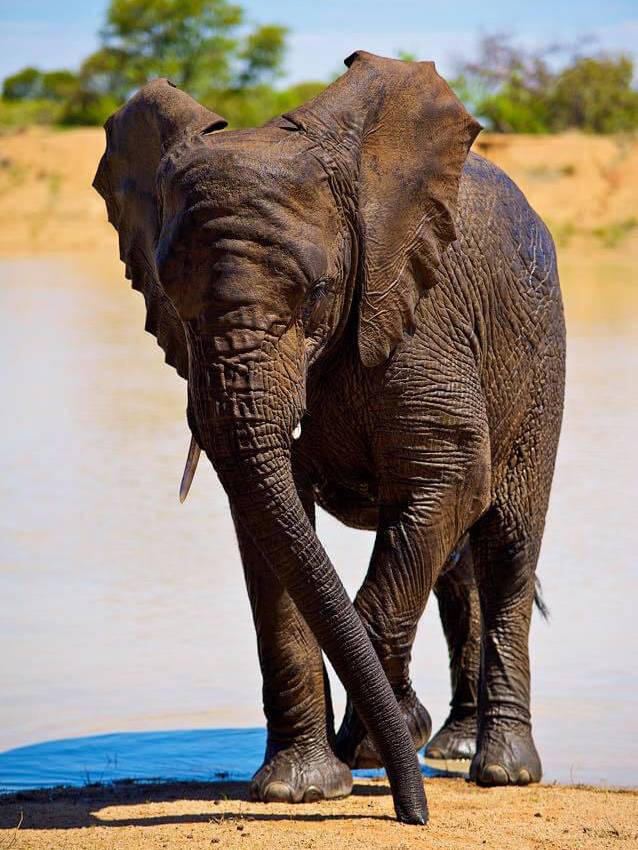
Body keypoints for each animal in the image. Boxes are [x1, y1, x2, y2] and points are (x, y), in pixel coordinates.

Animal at [93, 51, 565, 825]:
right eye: (170, 292)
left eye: (315, 291)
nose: (413, 815)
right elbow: (270, 530)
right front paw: (300, 787)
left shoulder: (421, 315)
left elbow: (452, 480)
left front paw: (379, 738)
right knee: (456, 563)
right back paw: (450, 748)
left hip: (540, 353)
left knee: (506, 543)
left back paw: (498, 768)